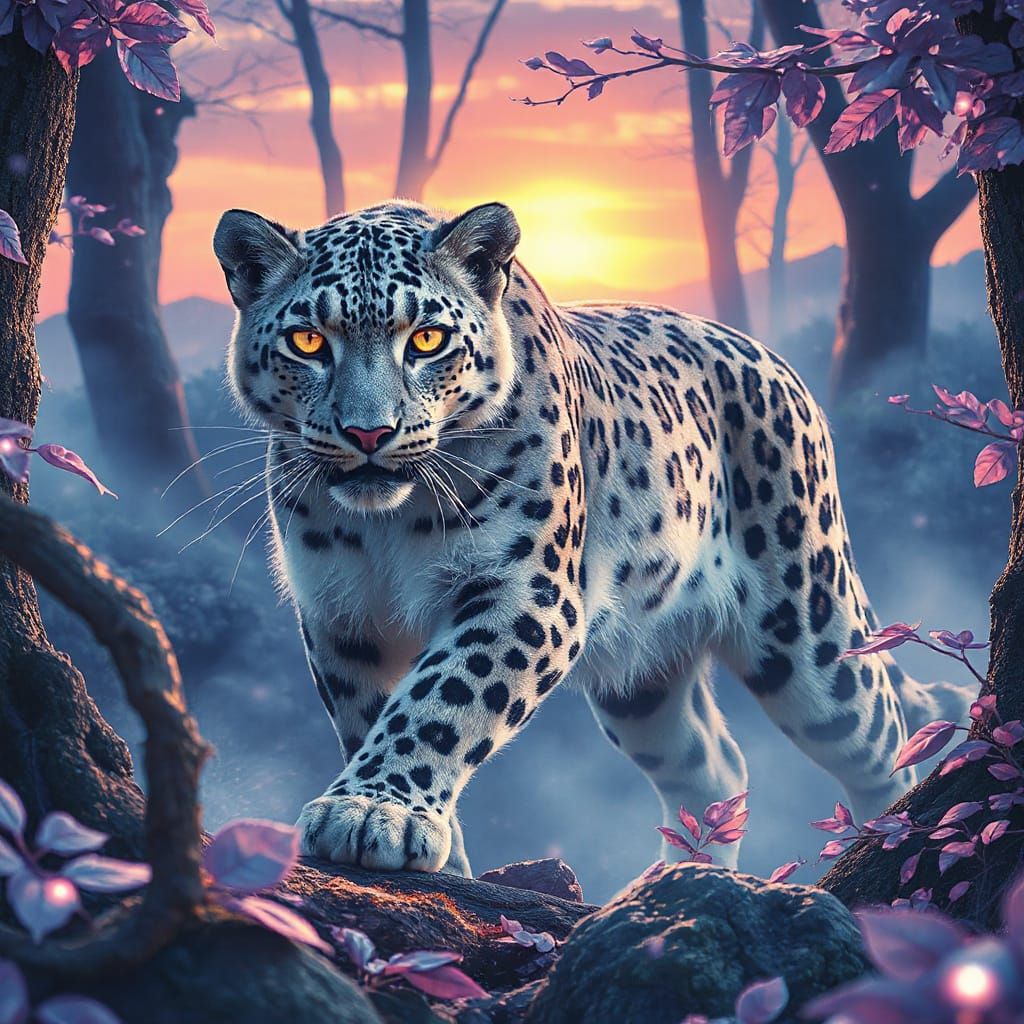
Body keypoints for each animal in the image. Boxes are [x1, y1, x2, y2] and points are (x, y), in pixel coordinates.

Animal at [212, 198, 971, 876]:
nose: (369, 434)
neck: (387, 523)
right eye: (309, 341)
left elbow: (440, 701)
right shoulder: (343, 617)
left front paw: (374, 812)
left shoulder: (525, 593)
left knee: (879, 739)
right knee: (713, 766)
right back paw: (673, 886)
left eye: (426, 339)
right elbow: (375, 717)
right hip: (642, 679)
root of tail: (776, 363)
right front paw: (435, 855)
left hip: (810, 633)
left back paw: (882, 852)